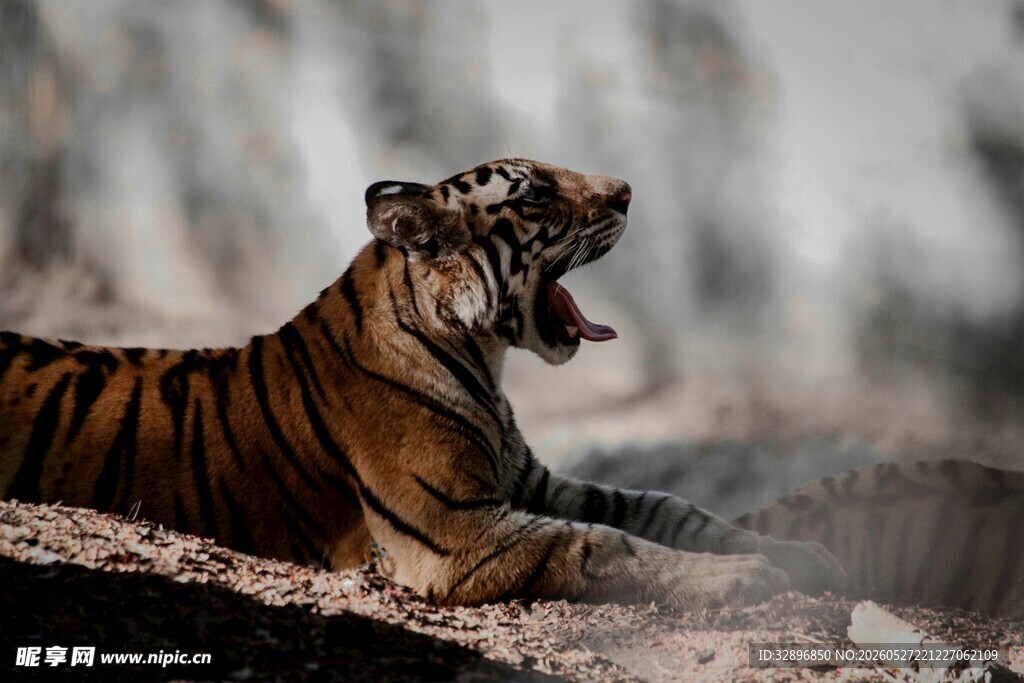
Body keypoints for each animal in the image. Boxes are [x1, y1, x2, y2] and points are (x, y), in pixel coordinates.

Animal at [0, 158, 845, 610]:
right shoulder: (454, 532)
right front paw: (748, 574)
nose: (629, 190)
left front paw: (801, 553)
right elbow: (606, 543)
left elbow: (663, 505)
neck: (485, 358)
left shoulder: (528, 481)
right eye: (536, 194)